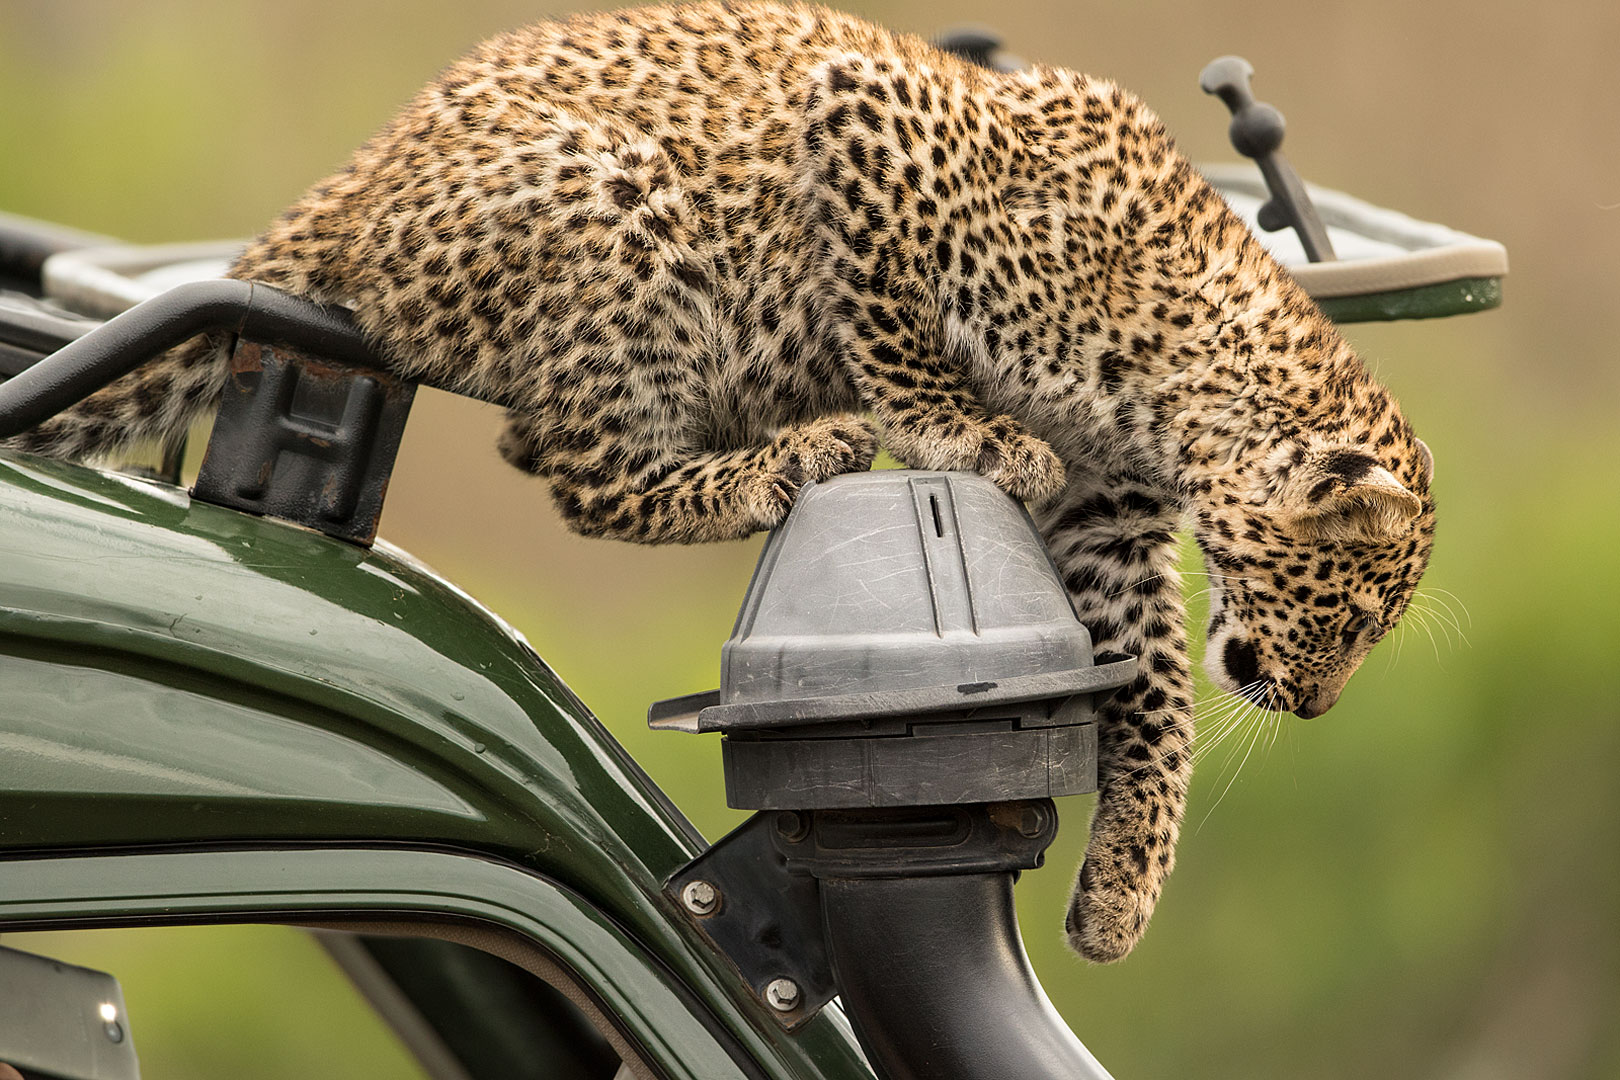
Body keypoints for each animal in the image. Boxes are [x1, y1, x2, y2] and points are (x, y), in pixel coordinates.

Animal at [3, 0, 1432, 965]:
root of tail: (346, 202)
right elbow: (898, 327)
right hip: (615, 211)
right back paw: (785, 457)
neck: (1183, 395)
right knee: (574, 466)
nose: (1316, 705)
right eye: (1352, 616)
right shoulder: (869, 125)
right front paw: (957, 429)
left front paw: (1123, 888)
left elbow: (1158, 701)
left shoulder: (1112, 530)